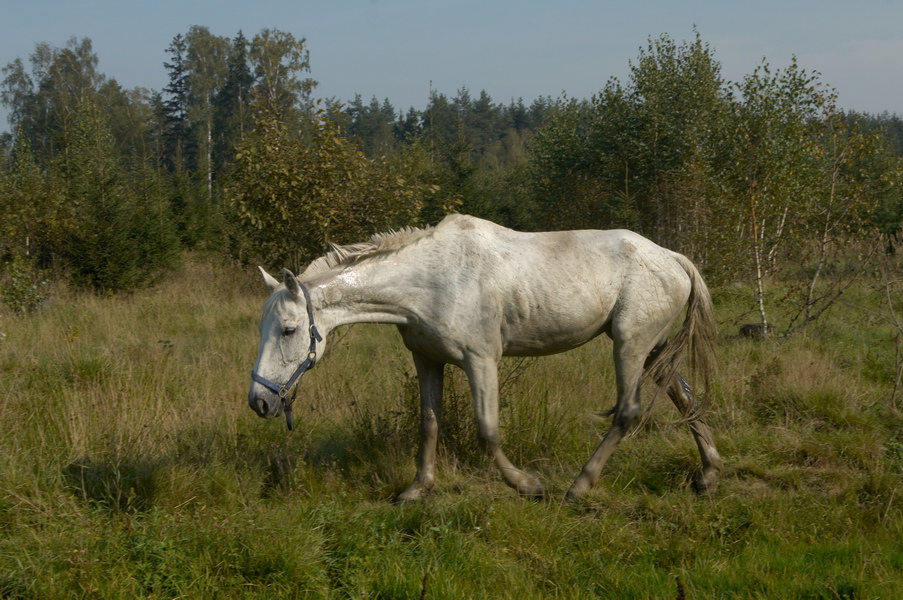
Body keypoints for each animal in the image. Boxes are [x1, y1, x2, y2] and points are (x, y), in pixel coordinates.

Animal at [249, 213, 728, 500]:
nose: (260, 402)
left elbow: (488, 431)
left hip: (629, 344)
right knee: (685, 398)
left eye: (289, 329)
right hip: (653, 348)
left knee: (628, 412)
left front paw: (527, 485)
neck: (430, 280)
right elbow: (429, 424)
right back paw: (708, 474)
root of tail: (674, 258)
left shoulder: (480, 361)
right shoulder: (427, 360)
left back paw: (579, 486)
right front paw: (417, 489)